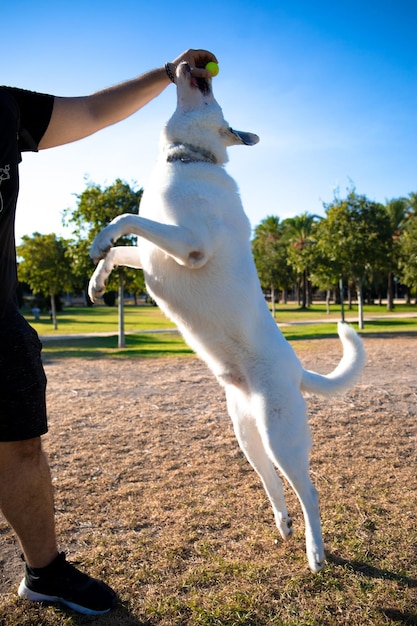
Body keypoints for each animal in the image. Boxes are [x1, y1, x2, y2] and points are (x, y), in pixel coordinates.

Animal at [88, 63, 364, 572]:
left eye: (212, 94)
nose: (197, 67)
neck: (187, 160)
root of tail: (297, 371)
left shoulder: (189, 244)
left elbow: (126, 217)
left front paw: (99, 241)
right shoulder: (155, 255)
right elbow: (121, 247)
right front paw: (97, 280)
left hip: (281, 437)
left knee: (310, 491)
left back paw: (315, 551)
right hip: (246, 435)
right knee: (273, 483)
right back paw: (283, 523)